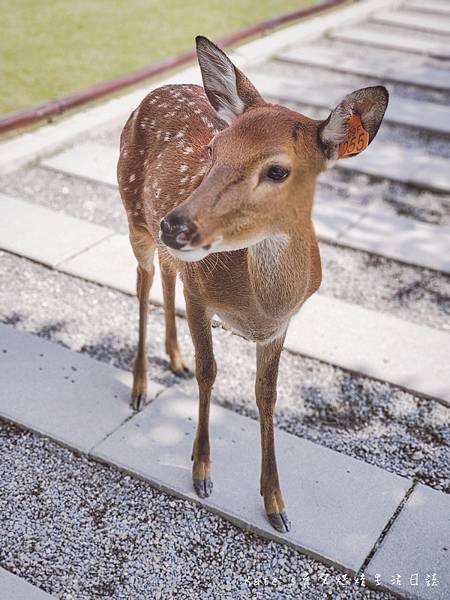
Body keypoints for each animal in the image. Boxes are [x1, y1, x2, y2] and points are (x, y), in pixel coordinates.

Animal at [118, 36, 388, 536]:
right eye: (212, 148)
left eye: (278, 170)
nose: (176, 225)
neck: (259, 304)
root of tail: (157, 89)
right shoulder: (200, 294)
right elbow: (210, 373)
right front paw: (201, 471)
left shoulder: (282, 325)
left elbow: (267, 396)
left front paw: (276, 504)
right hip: (133, 217)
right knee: (144, 283)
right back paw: (140, 386)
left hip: (162, 242)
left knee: (166, 272)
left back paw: (173, 358)